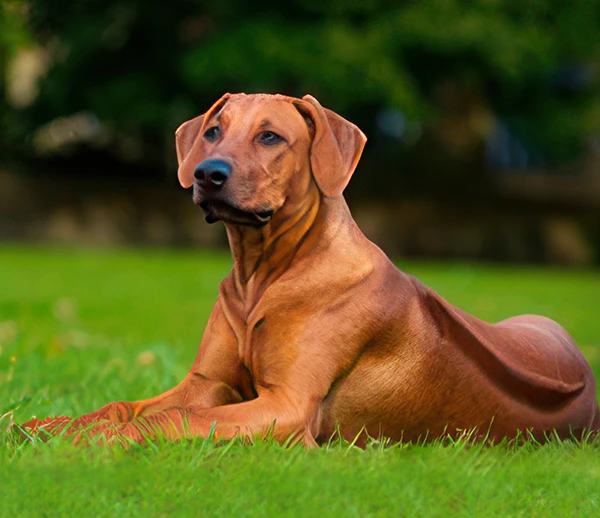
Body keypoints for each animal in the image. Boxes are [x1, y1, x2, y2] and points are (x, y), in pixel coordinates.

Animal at [23, 92, 600, 446]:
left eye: (270, 137)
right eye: (212, 132)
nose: (208, 173)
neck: (262, 275)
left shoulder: (288, 406)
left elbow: (177, 417)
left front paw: (94, 441)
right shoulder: (208, 381)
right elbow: (124, 405)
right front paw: (50, 423)